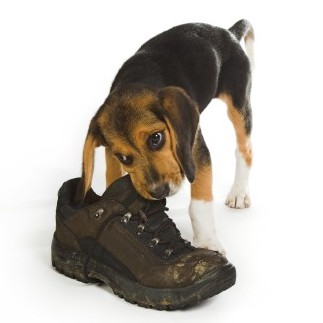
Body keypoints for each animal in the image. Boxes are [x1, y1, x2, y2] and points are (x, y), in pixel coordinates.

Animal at [75, 19, 256, 256]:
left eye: (156, 138)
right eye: (123, 158)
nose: (159, 191)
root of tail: (227, 31)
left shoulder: (194, 148)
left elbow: (199, 203)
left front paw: (207, 242)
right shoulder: (110, 154)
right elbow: (112, 179)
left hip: (238, 102)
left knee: (245, 149)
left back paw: (239, 193)